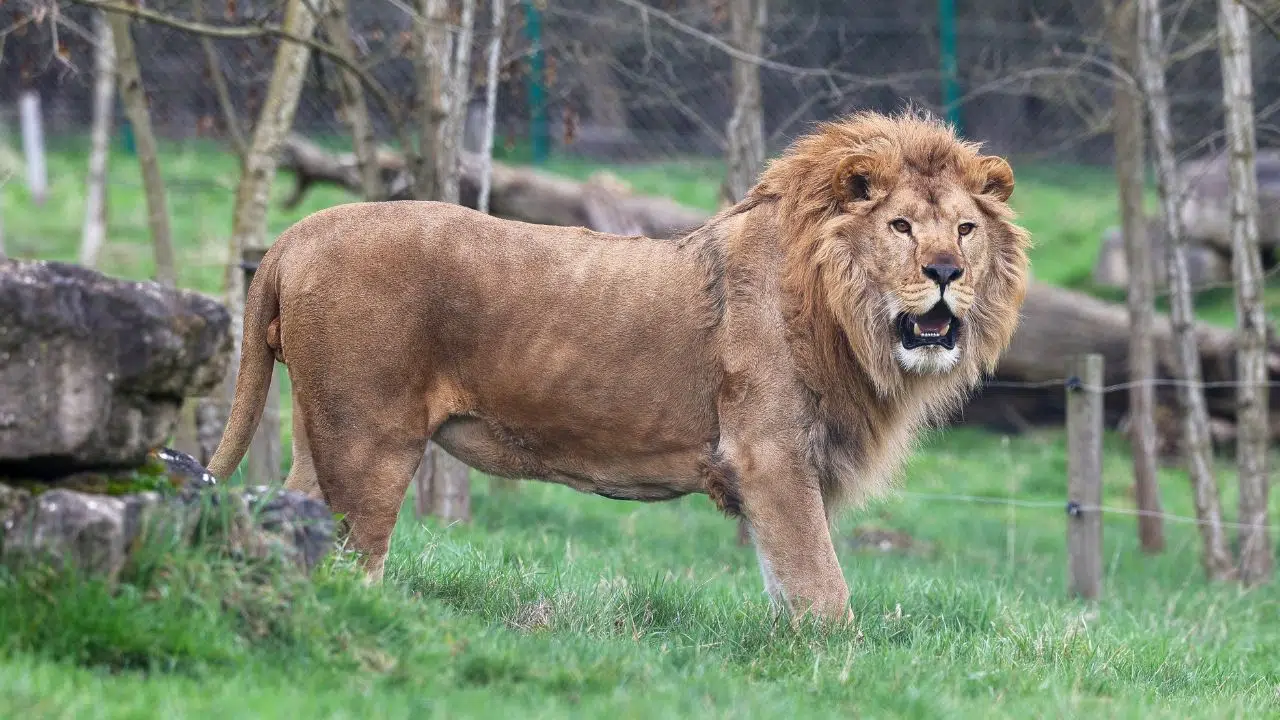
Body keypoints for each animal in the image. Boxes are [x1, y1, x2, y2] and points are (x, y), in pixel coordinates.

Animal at [208, 109, 1030, 623]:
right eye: (900, 227)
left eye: (965, 228)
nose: (946, 271)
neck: (846, 315)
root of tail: (297, 235)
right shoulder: (768, 453)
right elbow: (821, 585)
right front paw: (837, 663)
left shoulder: (784, 466)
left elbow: (788, 582)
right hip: (369, 438)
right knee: (354, 557)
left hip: (322, 433)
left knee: (295, 524)